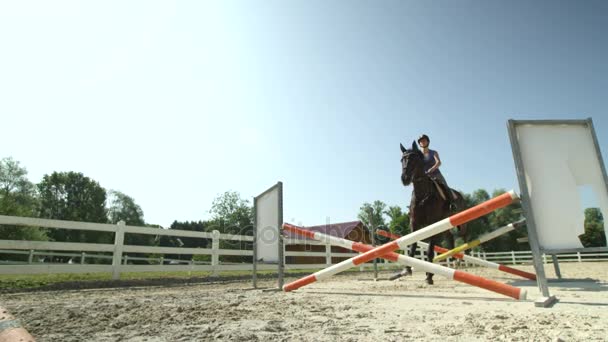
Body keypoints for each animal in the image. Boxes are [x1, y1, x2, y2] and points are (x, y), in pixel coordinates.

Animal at [390, 140, 466, 284]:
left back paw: (458, 260)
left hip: (458, 221)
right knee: (450, 237)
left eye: (414, 159)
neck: (422, 195)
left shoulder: (433, 223)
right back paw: (453, 261)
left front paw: (429, 276)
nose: (405, 178)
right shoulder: (414, 223)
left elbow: (430, 250)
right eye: (402, 159)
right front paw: (407, 269)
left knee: (464, 237)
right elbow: (413, 245)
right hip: (444, 224)